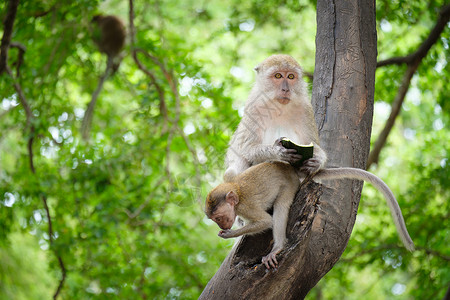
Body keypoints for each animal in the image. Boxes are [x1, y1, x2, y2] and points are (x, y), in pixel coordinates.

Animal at [207, 162, 414, 270]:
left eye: (218, 218)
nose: (221, 226)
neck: (235, 190)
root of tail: (290, 169)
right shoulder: (229, 179)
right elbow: (230, 171)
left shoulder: (246, 206)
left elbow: (266, 221)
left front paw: (230, 234)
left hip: (289, 185)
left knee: (281, 207)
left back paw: (278, 247)